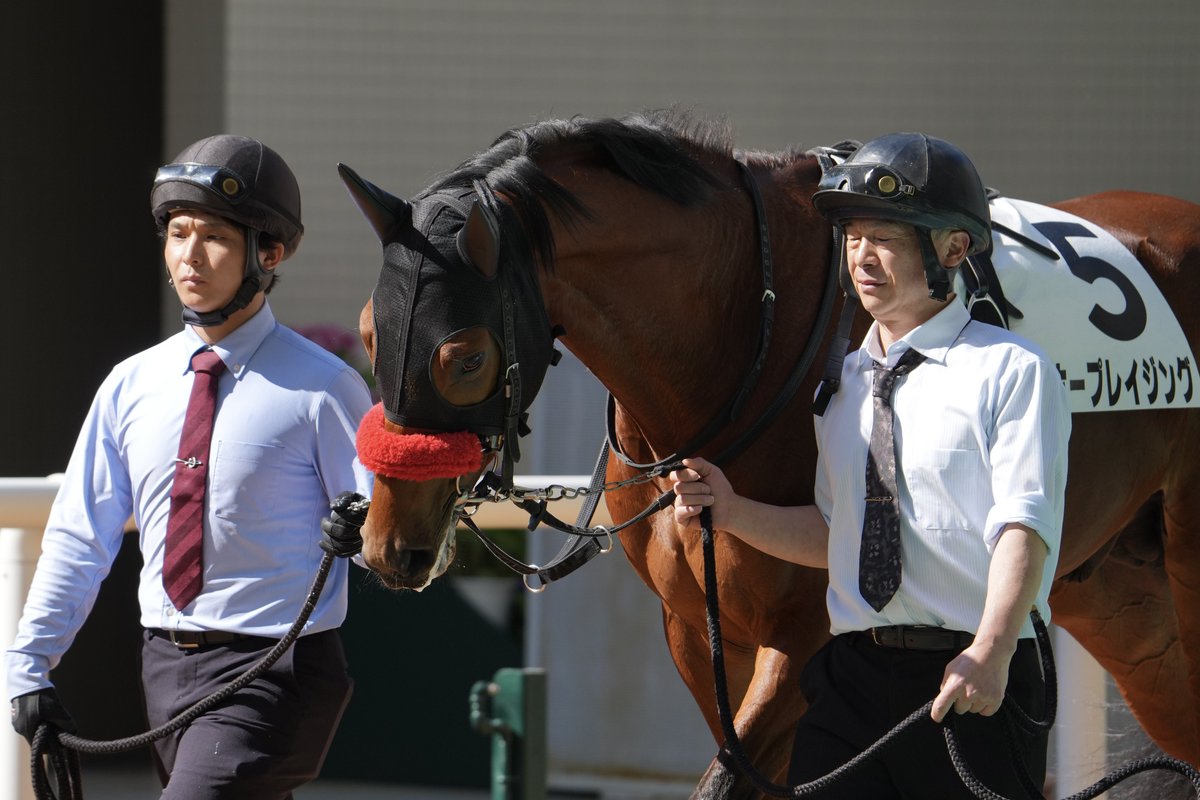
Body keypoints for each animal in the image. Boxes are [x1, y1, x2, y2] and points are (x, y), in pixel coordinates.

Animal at [339, 110, 1200, 798]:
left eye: (464, 358)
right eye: (370, 333)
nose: (388, 545)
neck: (743, 334)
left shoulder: (809, 633)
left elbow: (730, 776)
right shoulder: (697, 631)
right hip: (1126, 604)